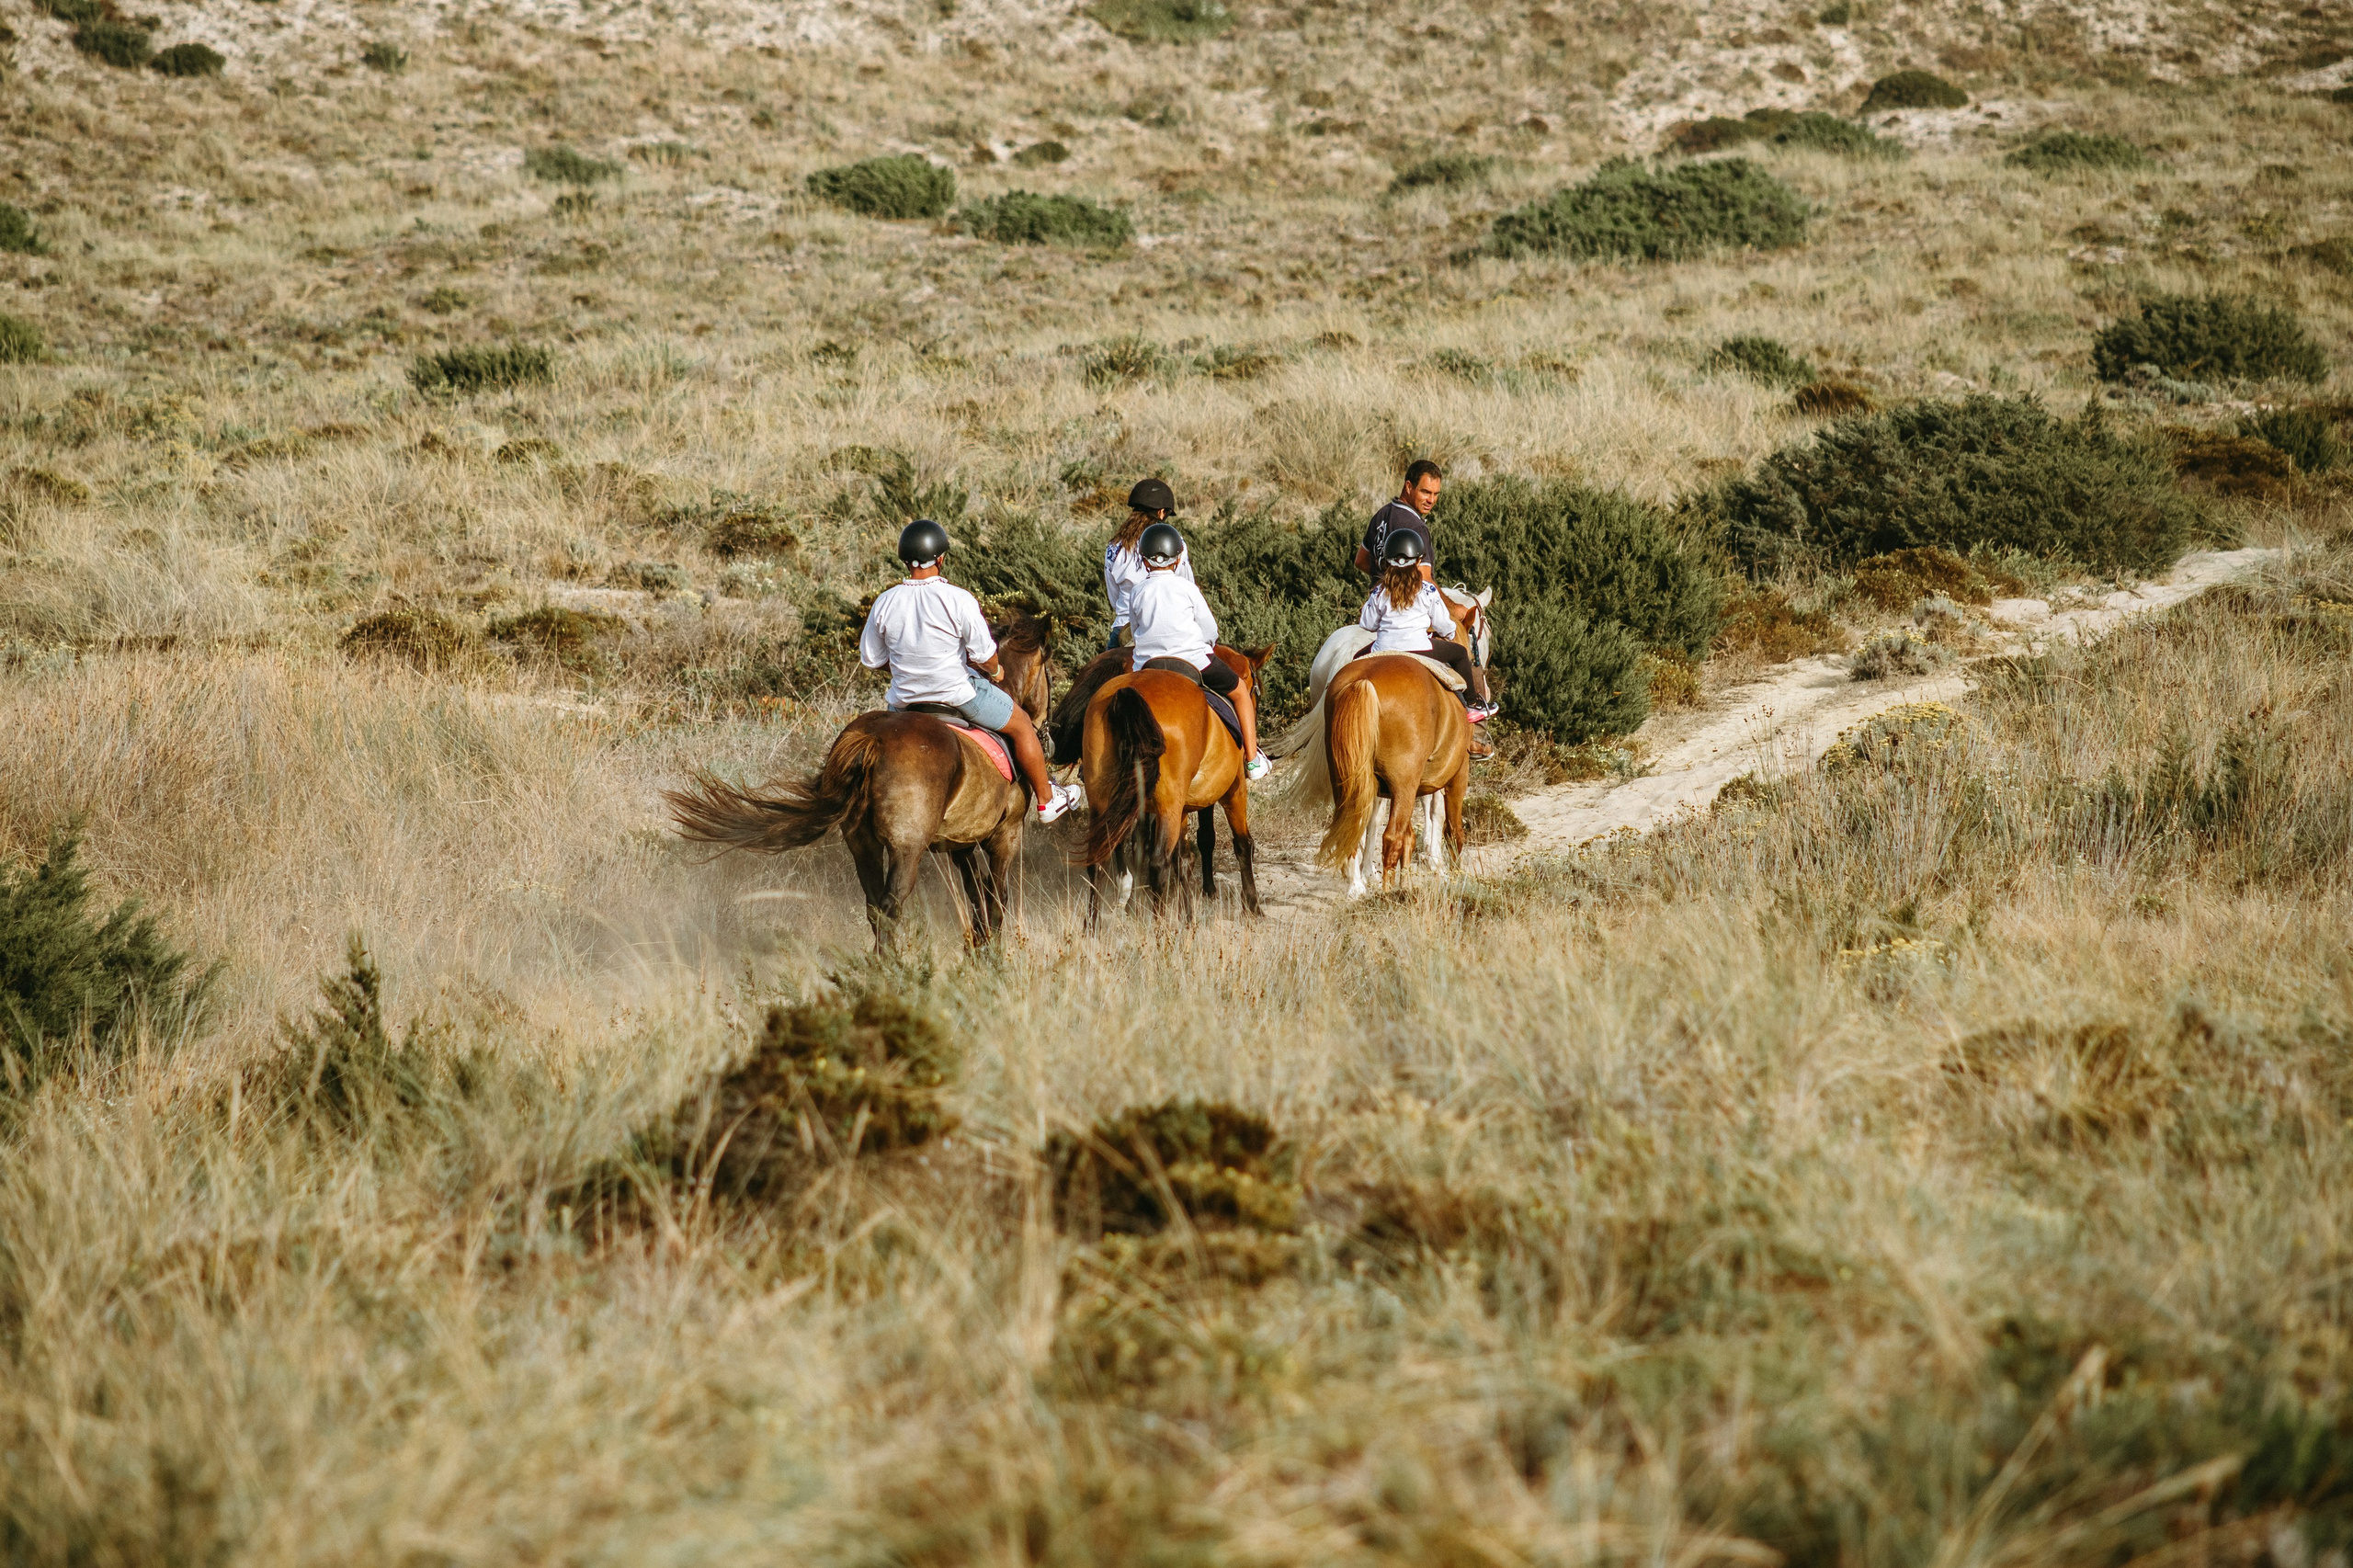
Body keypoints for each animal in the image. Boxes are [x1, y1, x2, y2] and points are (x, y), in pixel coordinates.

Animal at [664, 615, 1056, 949]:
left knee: (875, 910)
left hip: (863, 845)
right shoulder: (1005, 836)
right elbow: (996, 900)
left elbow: (977, 898)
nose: (1048, 733)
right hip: (907, 848)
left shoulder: (960, 844)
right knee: (892, 906)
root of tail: (874, 738)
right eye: (1049, 673)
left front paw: (978, 951)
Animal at [1074, 648, 1270, 925]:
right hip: (1168, 803)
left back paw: (1096, 925)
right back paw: (1159, 928)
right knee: (1158, 863)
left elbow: (1182, 857)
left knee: (1100, 859)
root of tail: (1126, 694)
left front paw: (1186, 915)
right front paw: (1252, 906)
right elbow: (1241, 843)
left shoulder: (1181, 807)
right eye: (1255, 690)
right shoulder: (1233, 790)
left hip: (1103, 801)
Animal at [1315, 654, 1473, 898]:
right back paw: (1386, 893)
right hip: (1404, 786)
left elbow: (1411, 836)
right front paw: (1452, 875)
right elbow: (1452, 830)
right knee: (1392, 837)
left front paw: (1407, 882)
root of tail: (1364, 680)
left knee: (1353, 830)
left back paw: (1357, 887)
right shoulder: (1457, 777)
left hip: (1347, 783)